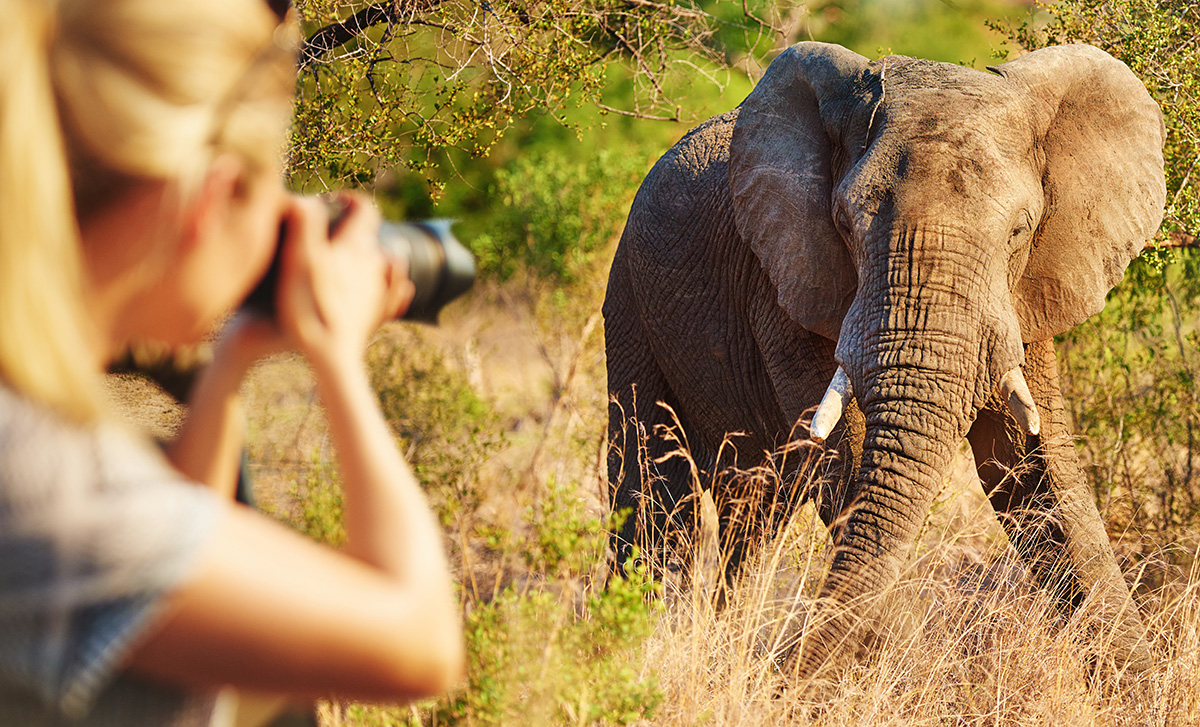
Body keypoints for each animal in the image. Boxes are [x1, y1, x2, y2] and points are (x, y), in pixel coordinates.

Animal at [603, 41, 1165, 677]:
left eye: (1020, 232)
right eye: (844, 224)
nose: (784, 671)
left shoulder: (1027, 293)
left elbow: (1030, 471)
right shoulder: (787, 281)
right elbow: (848, 461)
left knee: (751, 510)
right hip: (629, 298)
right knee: (652, 498)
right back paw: (632, 649)